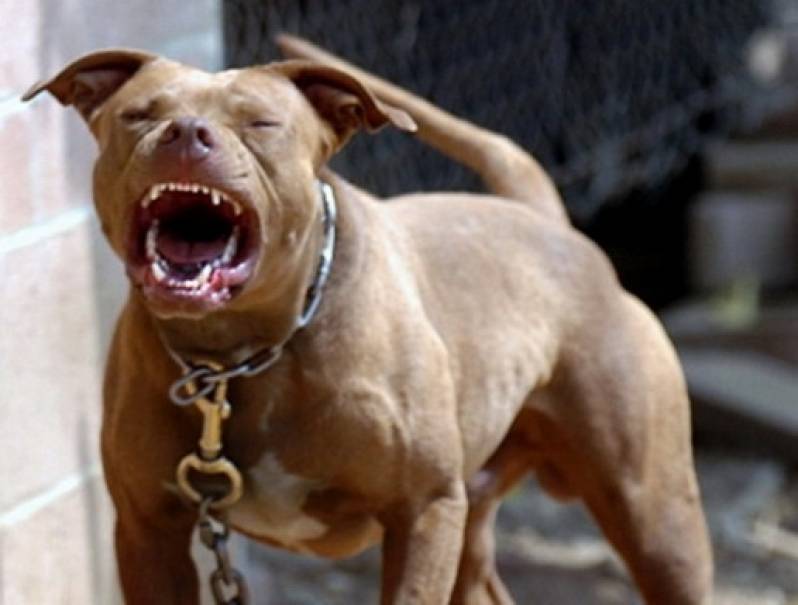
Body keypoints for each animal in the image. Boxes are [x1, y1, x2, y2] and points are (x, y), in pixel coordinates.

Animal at [23, 34, 712, 604]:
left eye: (261, 123)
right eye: (139, 115)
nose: (186, 133)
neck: (239, 356)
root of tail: (548, 220)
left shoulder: (423, 510)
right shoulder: (148, 530)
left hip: (654, 515)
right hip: (477, 525)